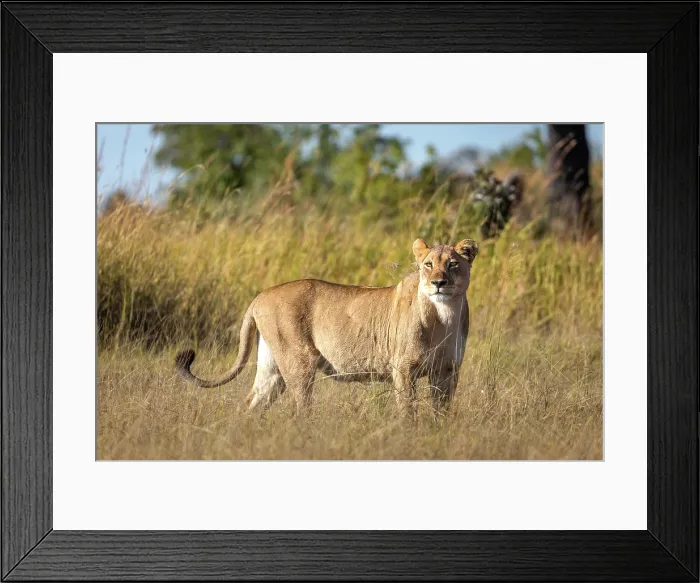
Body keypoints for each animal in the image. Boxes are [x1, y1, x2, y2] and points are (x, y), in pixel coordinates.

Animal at [176, 238, 478, 417]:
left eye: (453, 264)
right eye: (428, 264)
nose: (438, 282)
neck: (444, 315)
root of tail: (260, 296)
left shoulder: (447, 371)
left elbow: (441, 413)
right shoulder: (402, 369)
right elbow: (408, 412)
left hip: (272, 367)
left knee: (252, 403)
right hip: (300, 361)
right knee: (301, 410)